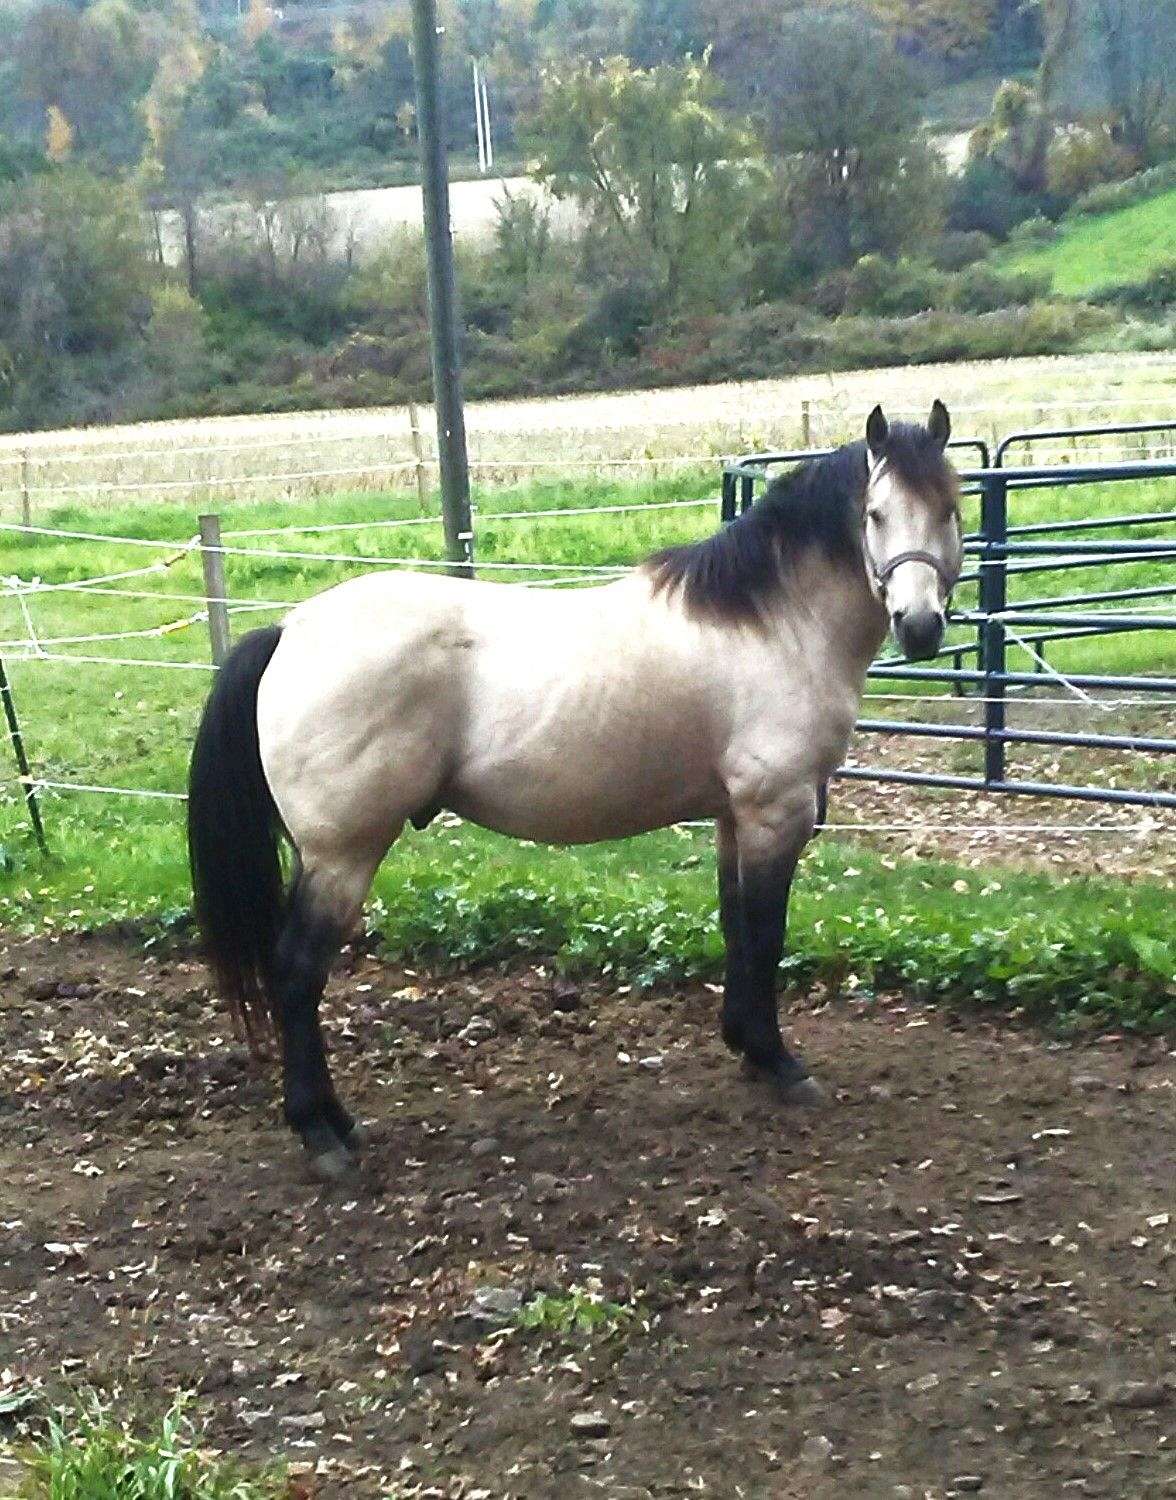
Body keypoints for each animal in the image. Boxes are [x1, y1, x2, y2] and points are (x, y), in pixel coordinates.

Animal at [188, 402, 963, 1180]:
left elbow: (737, 928)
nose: (922, 627)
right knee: (296, 974)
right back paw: (322, 1134)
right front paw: (779, 1064)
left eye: (950, 508)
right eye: (874, 514)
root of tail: (290, 631)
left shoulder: (733, 816)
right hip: (343, 856)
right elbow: (768, 934)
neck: (773, 624)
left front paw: (747, 1047)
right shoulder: (777, 811)